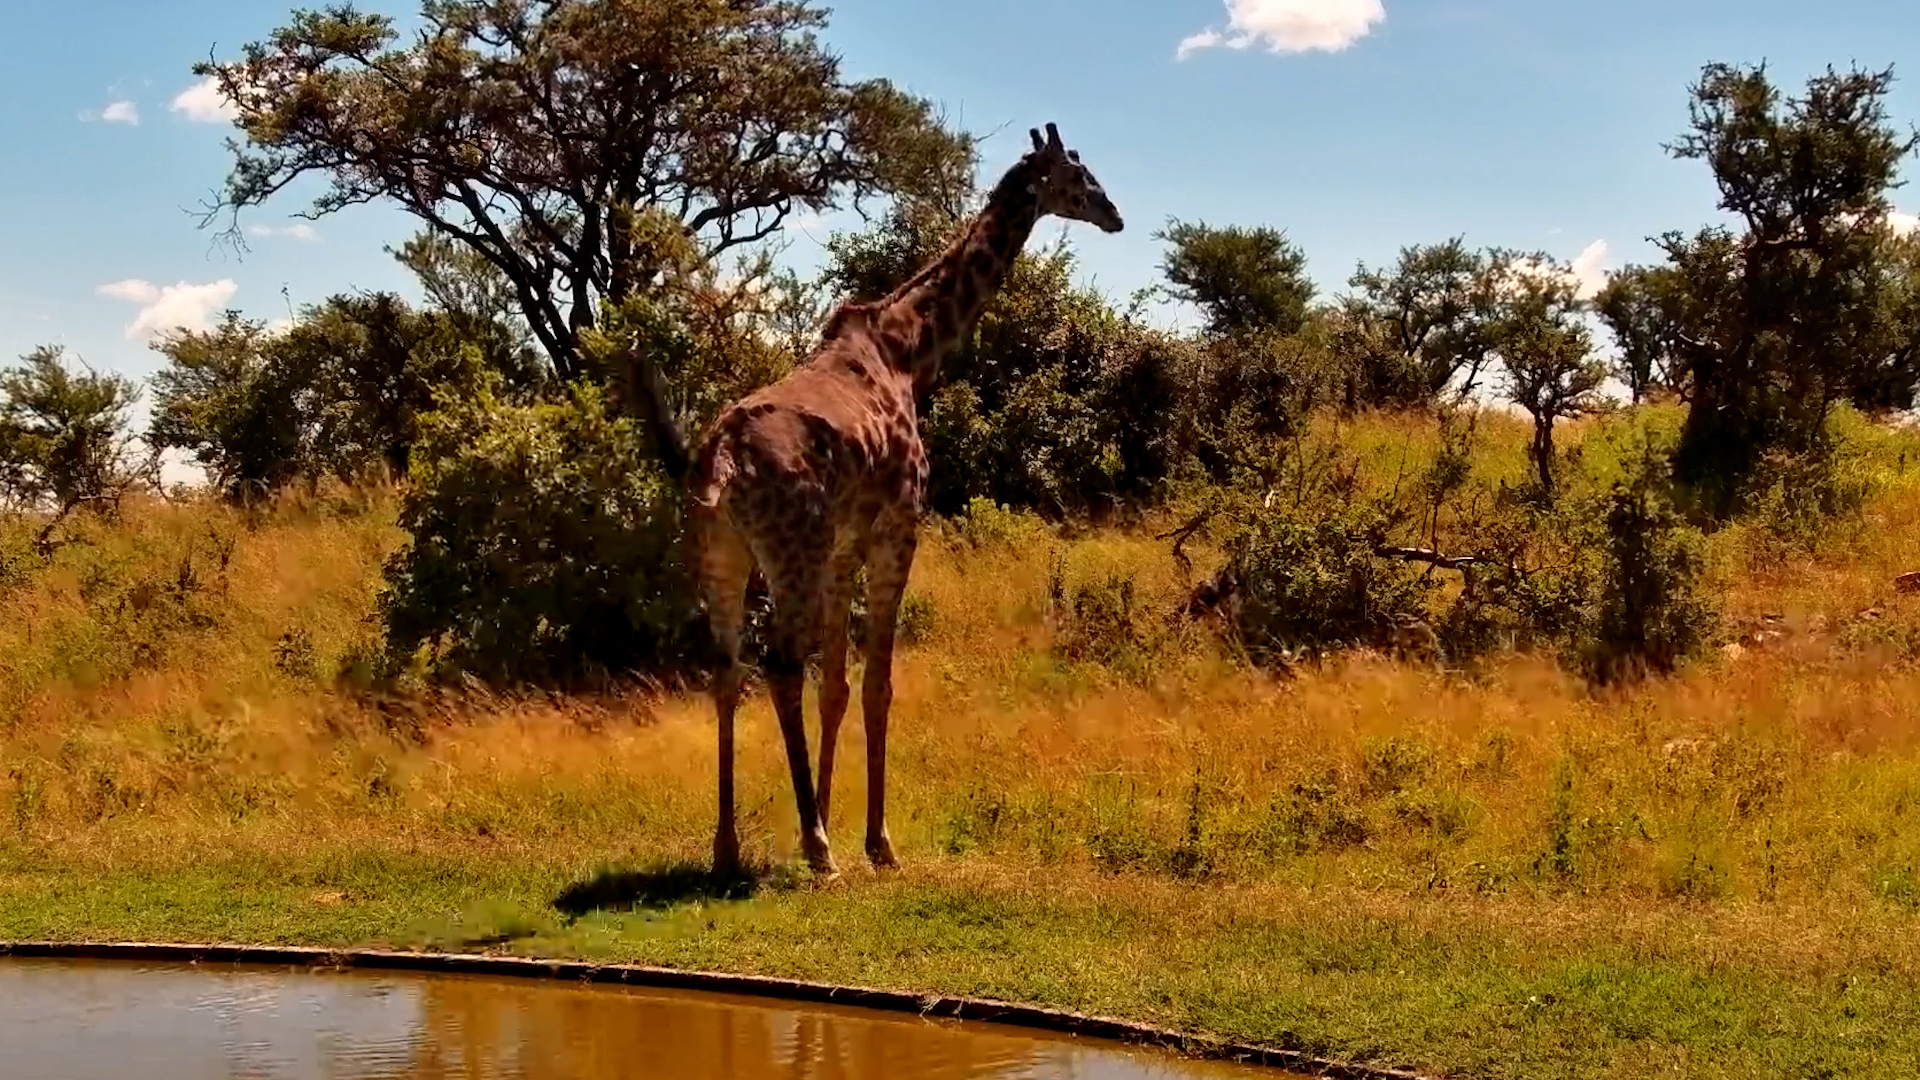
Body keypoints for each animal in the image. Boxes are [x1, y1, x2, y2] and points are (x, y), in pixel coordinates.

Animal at [682, 122, 1123, 877]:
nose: (1114, 214)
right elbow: (879, 684)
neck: (909, 353)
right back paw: (818, 852)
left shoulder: (842, 548)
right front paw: (874, 841)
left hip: (723, 555)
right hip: (789, 552)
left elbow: (837, 687)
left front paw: (830, 813)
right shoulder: (897, 526)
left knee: (726, 670)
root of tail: (723, 457)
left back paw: (728, 848)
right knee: (778, 666)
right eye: (1078, 174)